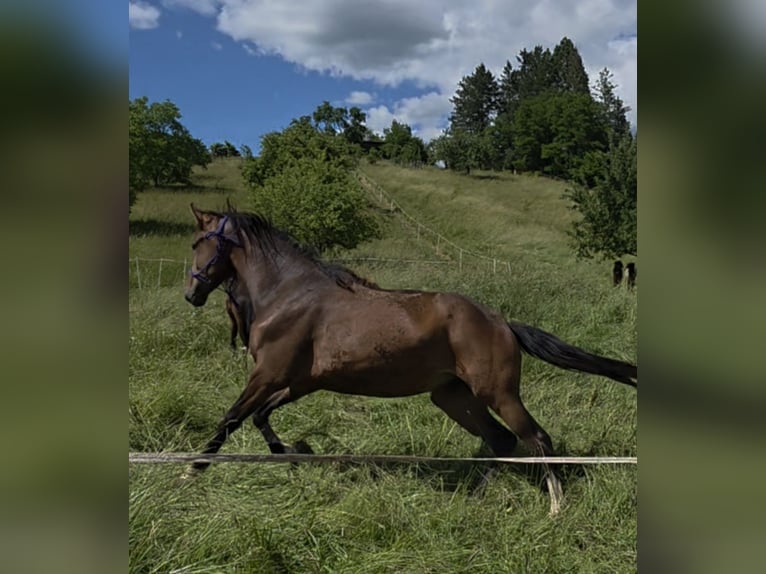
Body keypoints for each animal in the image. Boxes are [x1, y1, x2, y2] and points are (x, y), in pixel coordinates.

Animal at [183, 204, 637, 514]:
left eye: (198, 243)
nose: (192, 293)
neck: (289, 295)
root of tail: (502, 322)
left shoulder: (267, 374)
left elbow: (231, 418)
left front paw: (191, 471)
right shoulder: (298, 381)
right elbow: (260, 417)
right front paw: (292, 455)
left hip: (497, 393)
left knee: (536, 438)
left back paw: (556, 506)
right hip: (453, 396)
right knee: (501, 440)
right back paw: (472, 497)